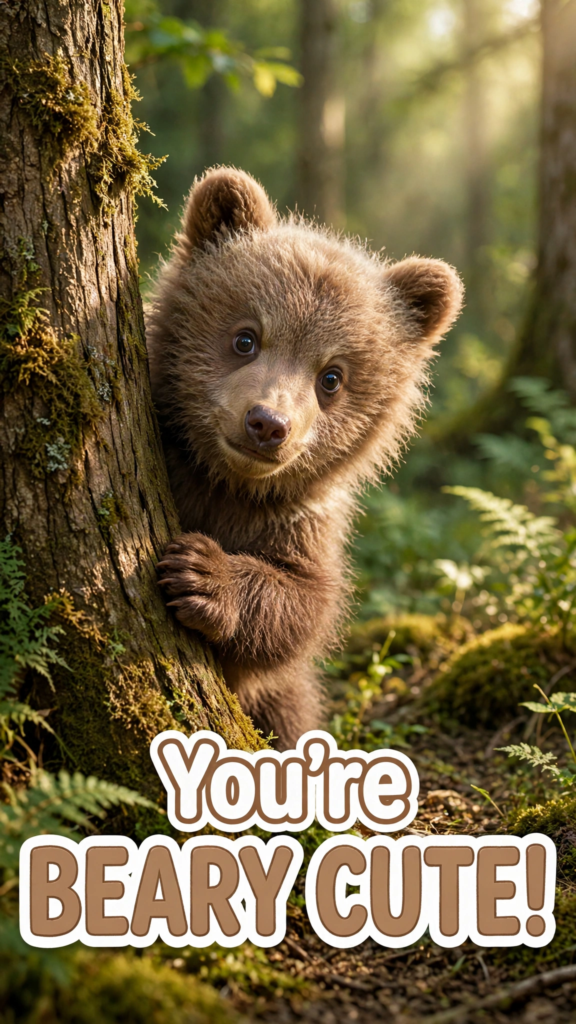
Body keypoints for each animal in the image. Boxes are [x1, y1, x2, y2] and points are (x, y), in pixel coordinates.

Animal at [147, 167, 463, 750]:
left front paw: (201, 573)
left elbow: (305, 604)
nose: (268, 423)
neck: (225, 482)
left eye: (331, 377)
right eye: (246, 338)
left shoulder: (301, 517)